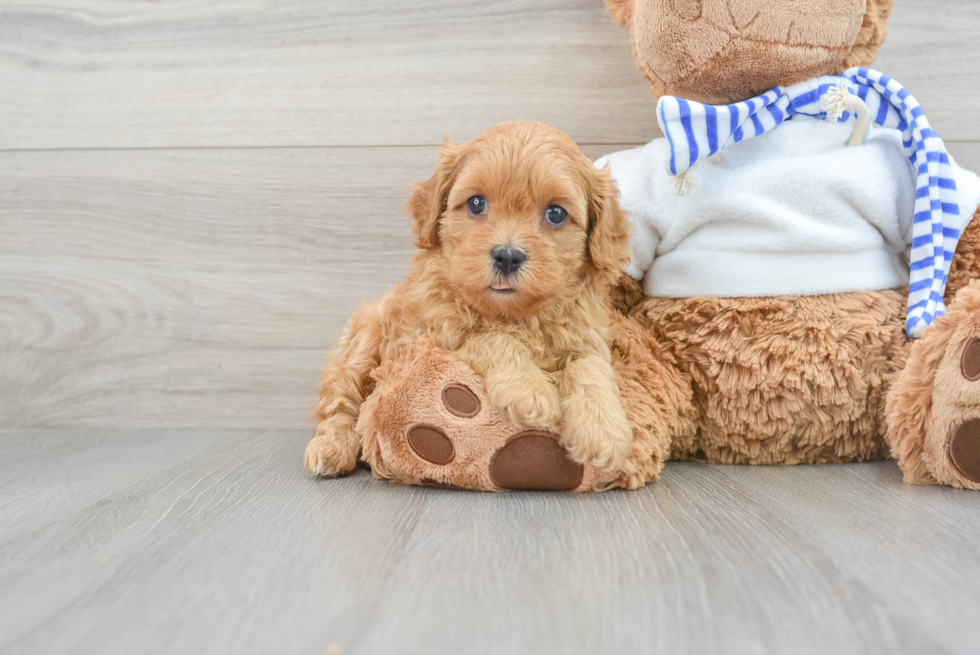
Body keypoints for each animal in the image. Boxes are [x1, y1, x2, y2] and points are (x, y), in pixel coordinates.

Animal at [306, 120, 636, 476]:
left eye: (556, 214)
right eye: (477, 203)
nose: (507, 256)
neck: (515, 314)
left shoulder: (586, 337)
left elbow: (591, 368)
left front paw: (603, 432)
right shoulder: (435, 335)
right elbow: (492, 339)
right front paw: (529, 391)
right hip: (364, 341)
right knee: (340, 400)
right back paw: (330, 448)